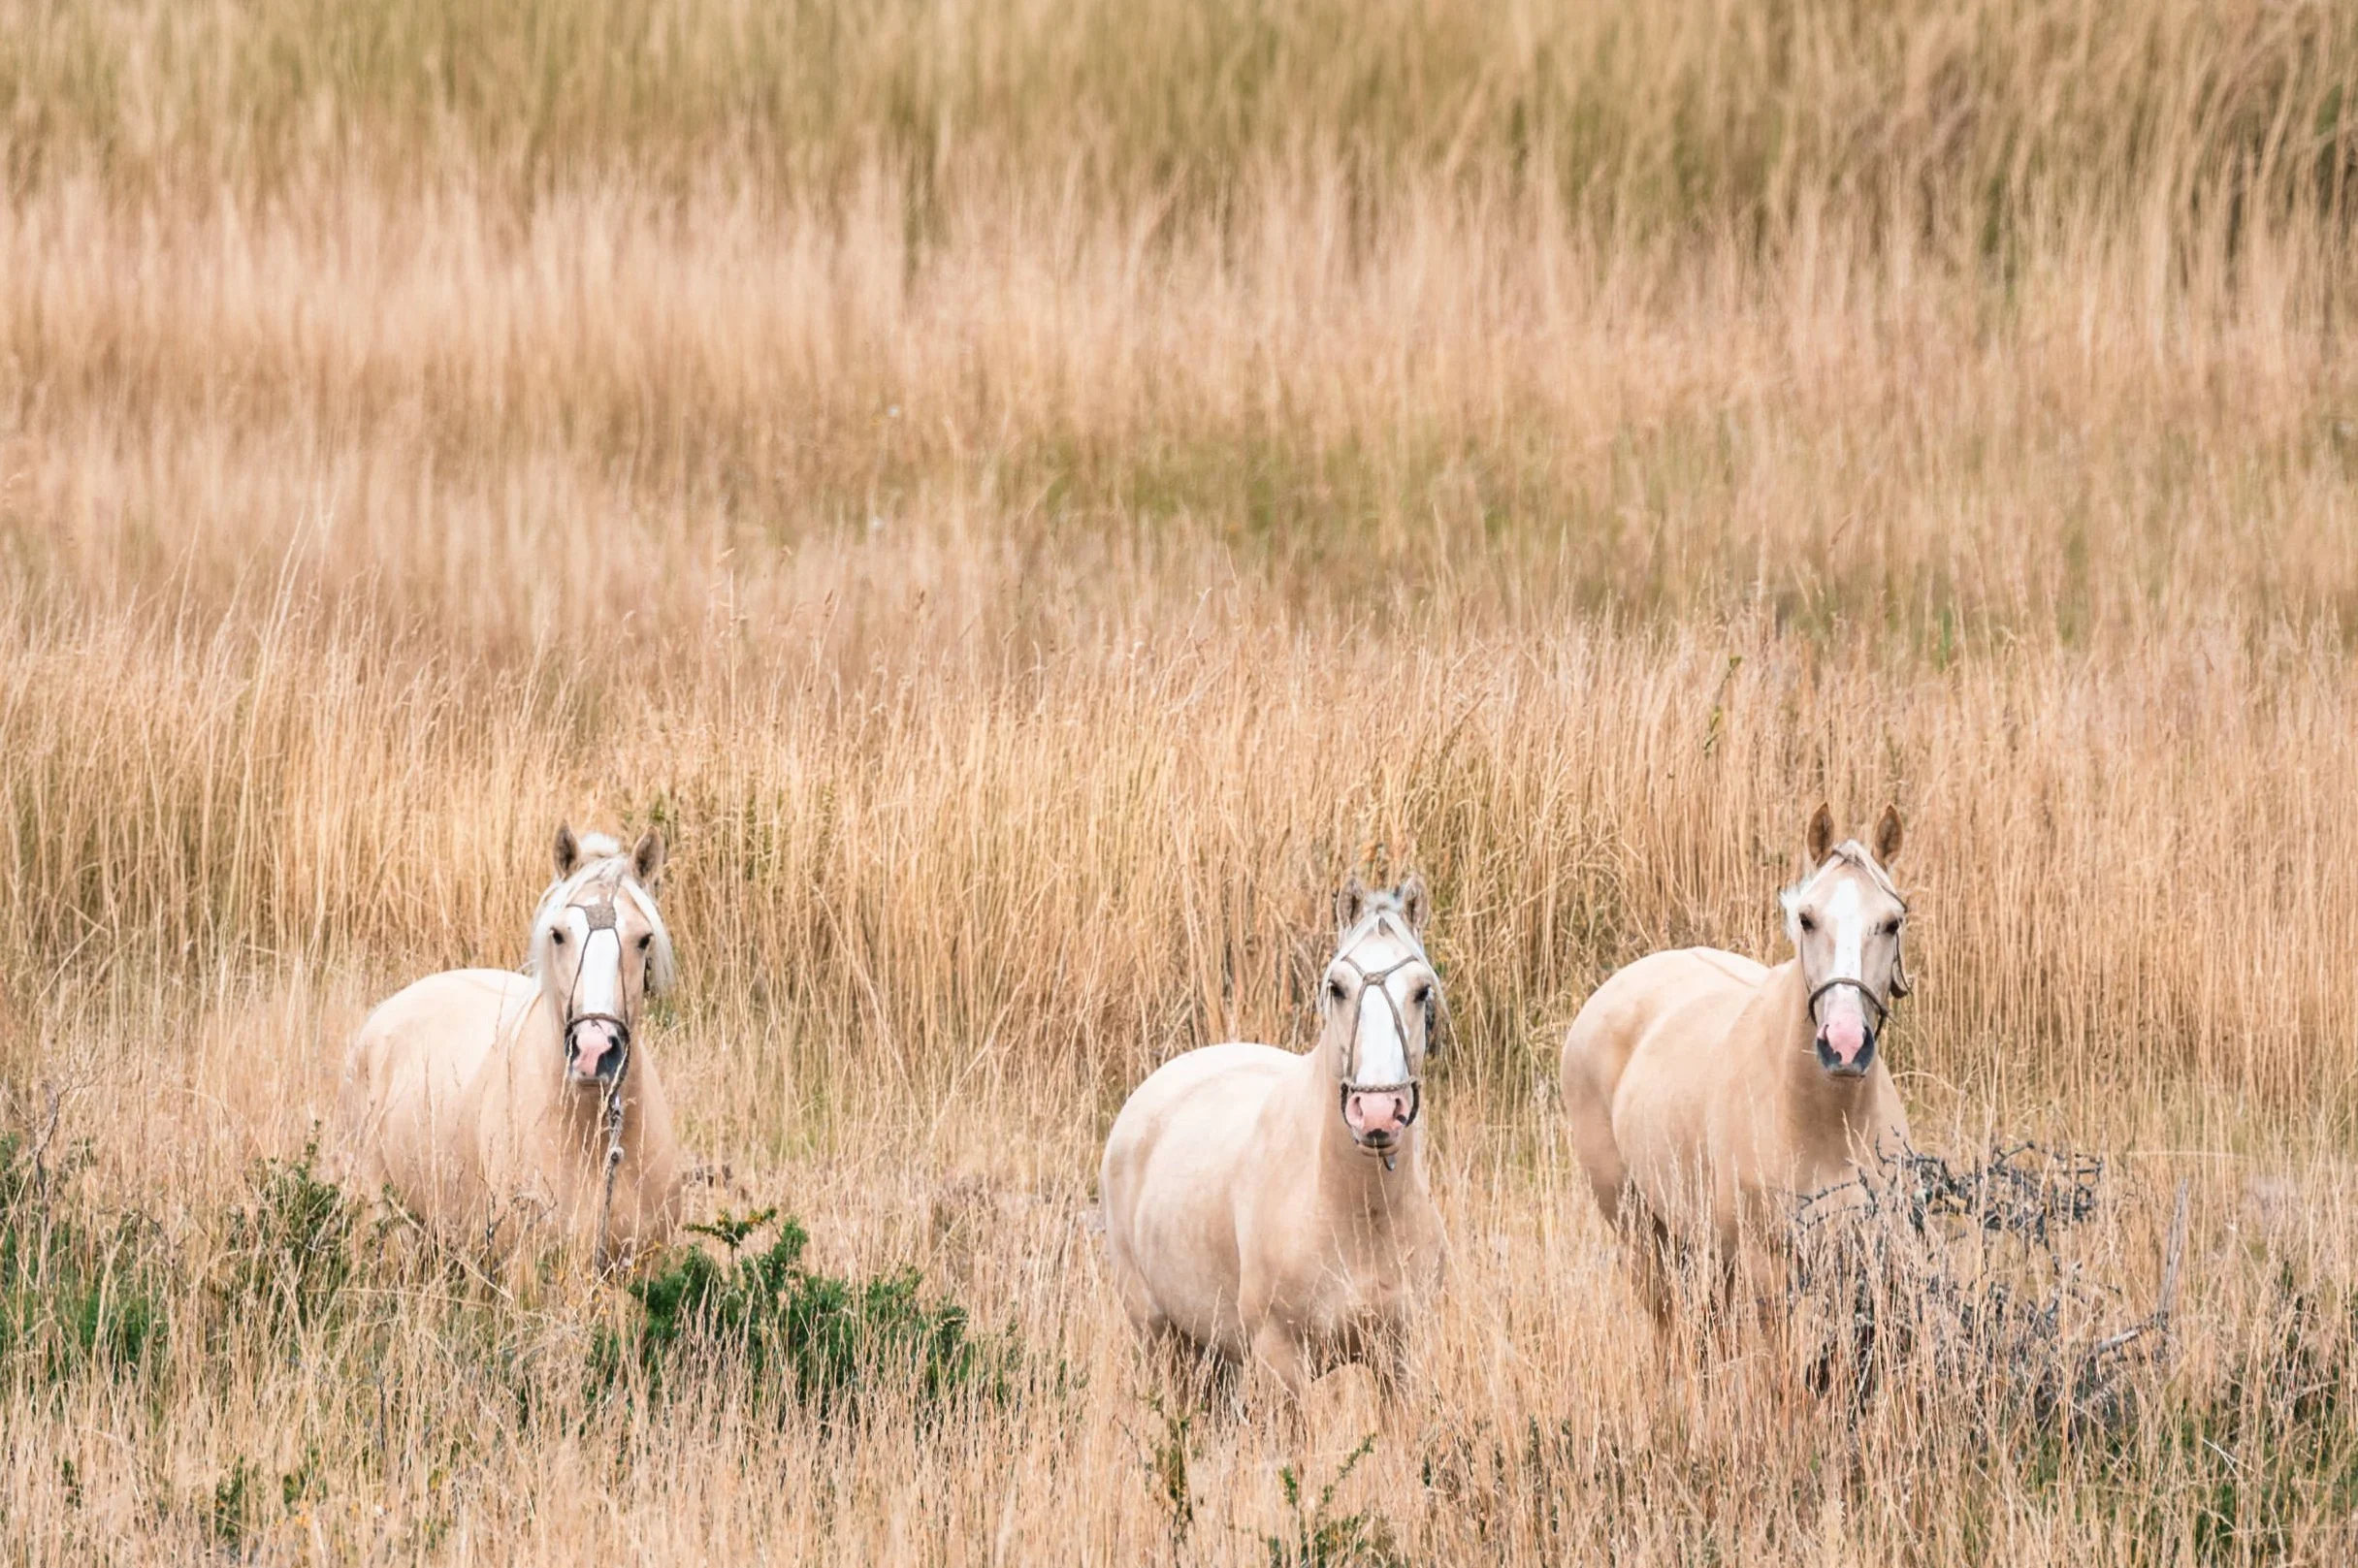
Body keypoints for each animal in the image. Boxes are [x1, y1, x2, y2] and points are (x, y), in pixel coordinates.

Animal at [1100, 876, 1449, 1407]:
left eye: (1421, 990)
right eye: (1336, 988)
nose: (1377, 1113)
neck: (1354, 1210)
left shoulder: (1401, 1362)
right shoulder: (1280, 1360)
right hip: (1160, 1338)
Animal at [1560, 805, 1912, 1322]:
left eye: (1891, 923)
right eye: (1806, 919)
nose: (1845, 1045)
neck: (1825, 1120)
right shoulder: (1767, 1270)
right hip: (1642, 1231)